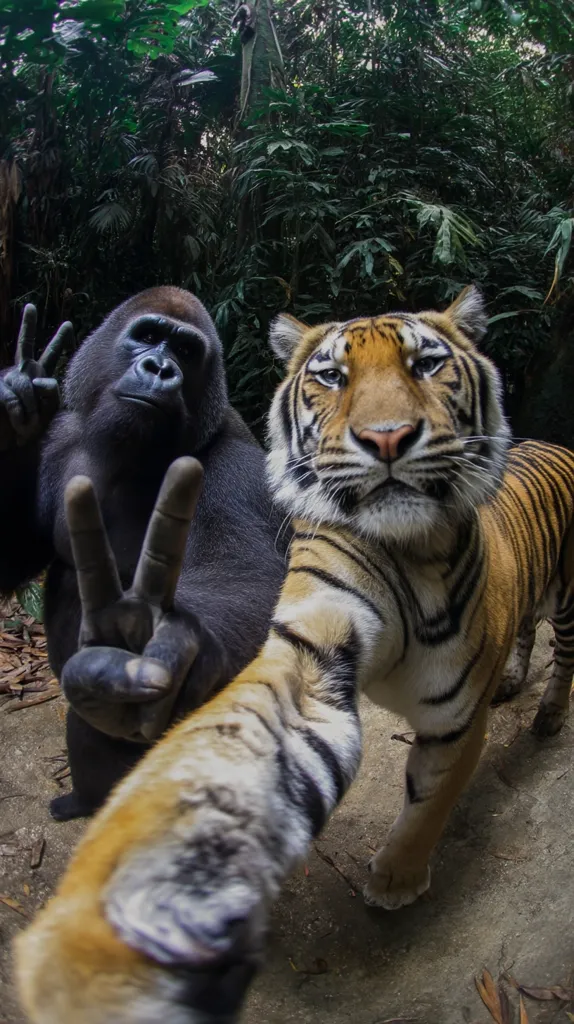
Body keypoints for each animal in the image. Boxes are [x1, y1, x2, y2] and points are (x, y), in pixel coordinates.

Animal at [15, 286, 574, 1024]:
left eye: (427, 364)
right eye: (332, 377)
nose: (386, 438)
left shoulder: (455, 717)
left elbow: (429, 802)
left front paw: (397, 877)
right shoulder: (314, 635)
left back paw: (547, 716)